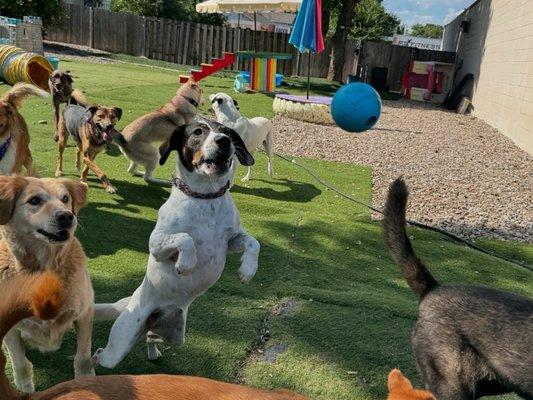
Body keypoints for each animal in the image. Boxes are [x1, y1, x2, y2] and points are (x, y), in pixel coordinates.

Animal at [93, 117, 260, 368]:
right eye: (198, 132)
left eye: (228, 132)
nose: (224, 141)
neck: (206, 199)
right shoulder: (156, 244)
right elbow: (185, 238)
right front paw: (186, 264)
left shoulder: (230, 240)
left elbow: (254, 243)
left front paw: (247, 271)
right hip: (120, 342)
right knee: (100, 354)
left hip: (175, 336)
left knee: (151, 336)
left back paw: (153, 352)